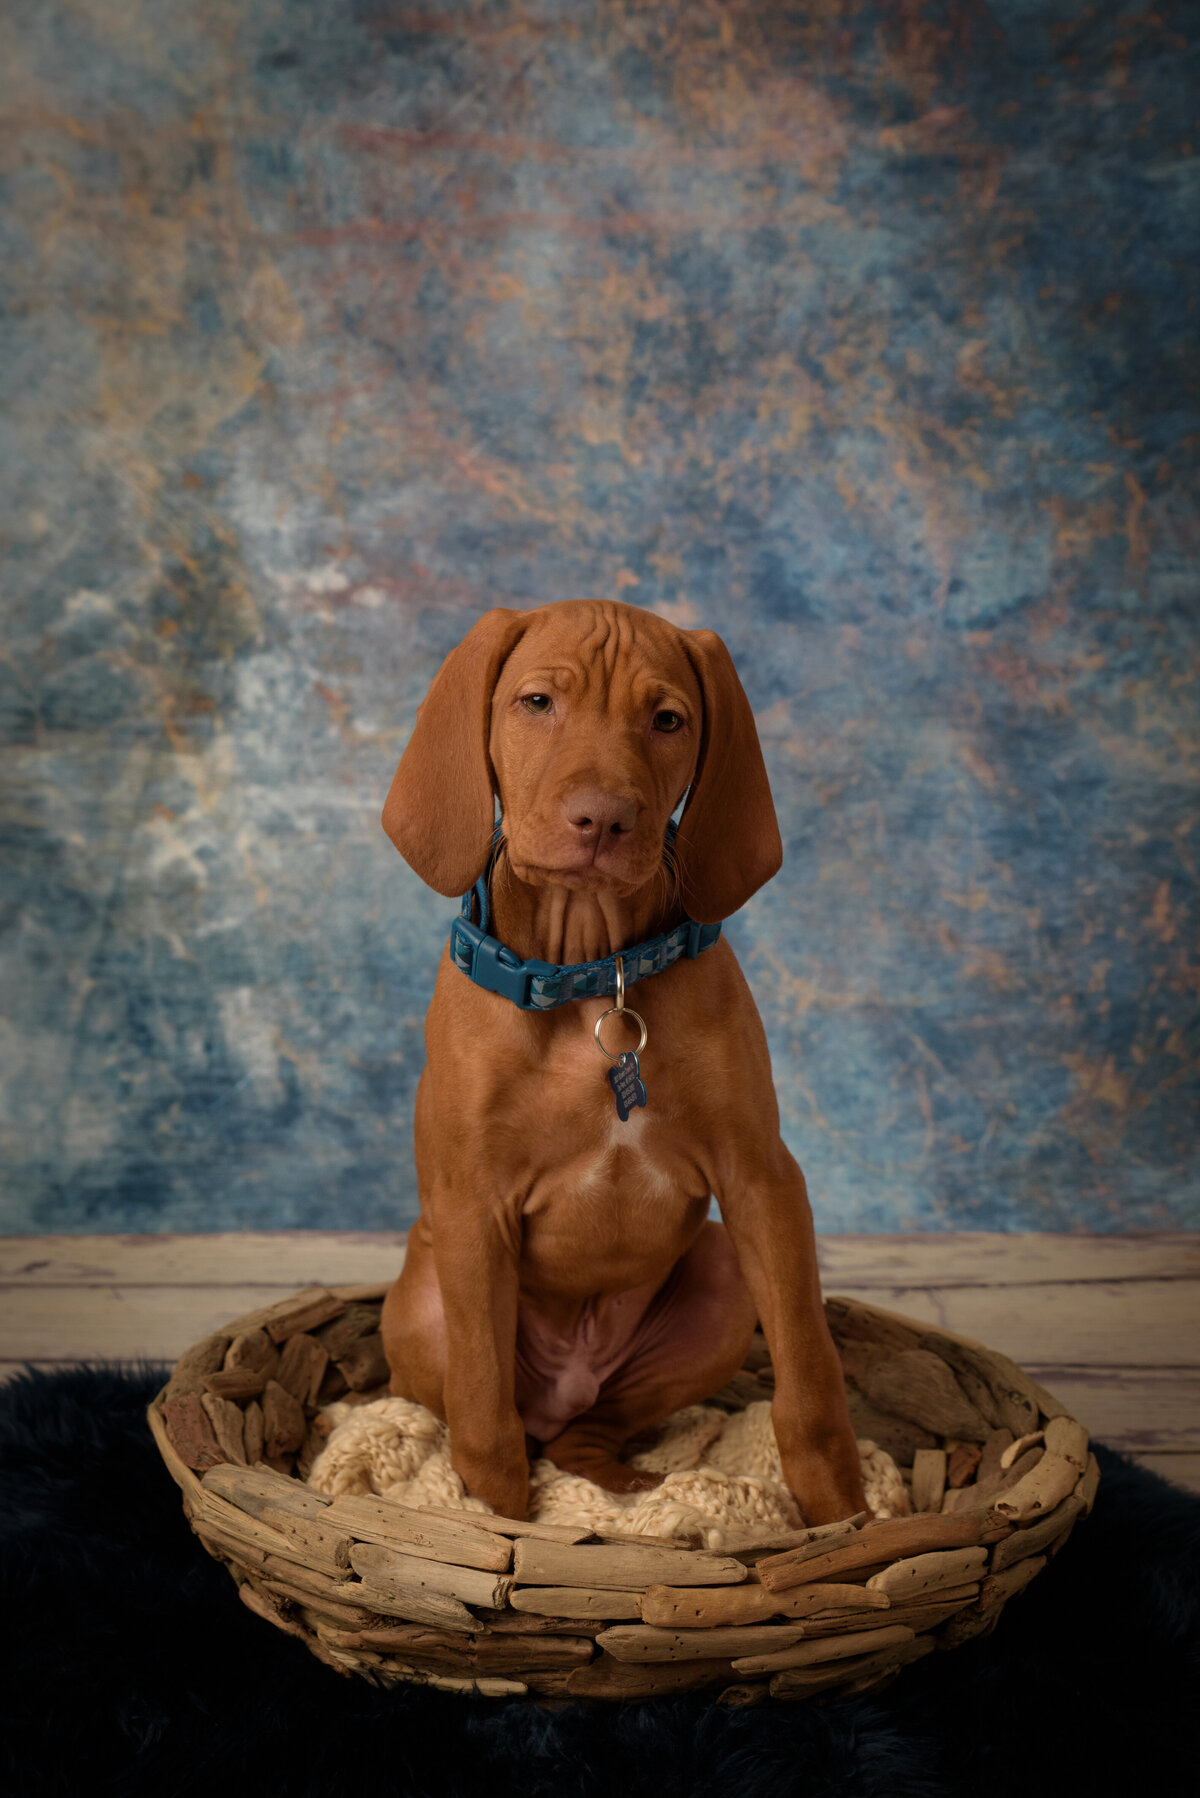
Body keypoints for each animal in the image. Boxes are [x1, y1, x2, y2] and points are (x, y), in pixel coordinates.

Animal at [379, 596, 867, 1524]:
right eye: (537, 703)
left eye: (667, 720)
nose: (602, 819)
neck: (590, 980)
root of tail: (564, 1389)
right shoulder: (471, 1208)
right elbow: (484, 1424)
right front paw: (498, 1527)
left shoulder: (763, 1180)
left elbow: (809, 1383)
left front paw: (845, 1521)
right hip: (420, 1302)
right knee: (500, 1418)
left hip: (718, 1279)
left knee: (587, 1434)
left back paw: (626, 1494)